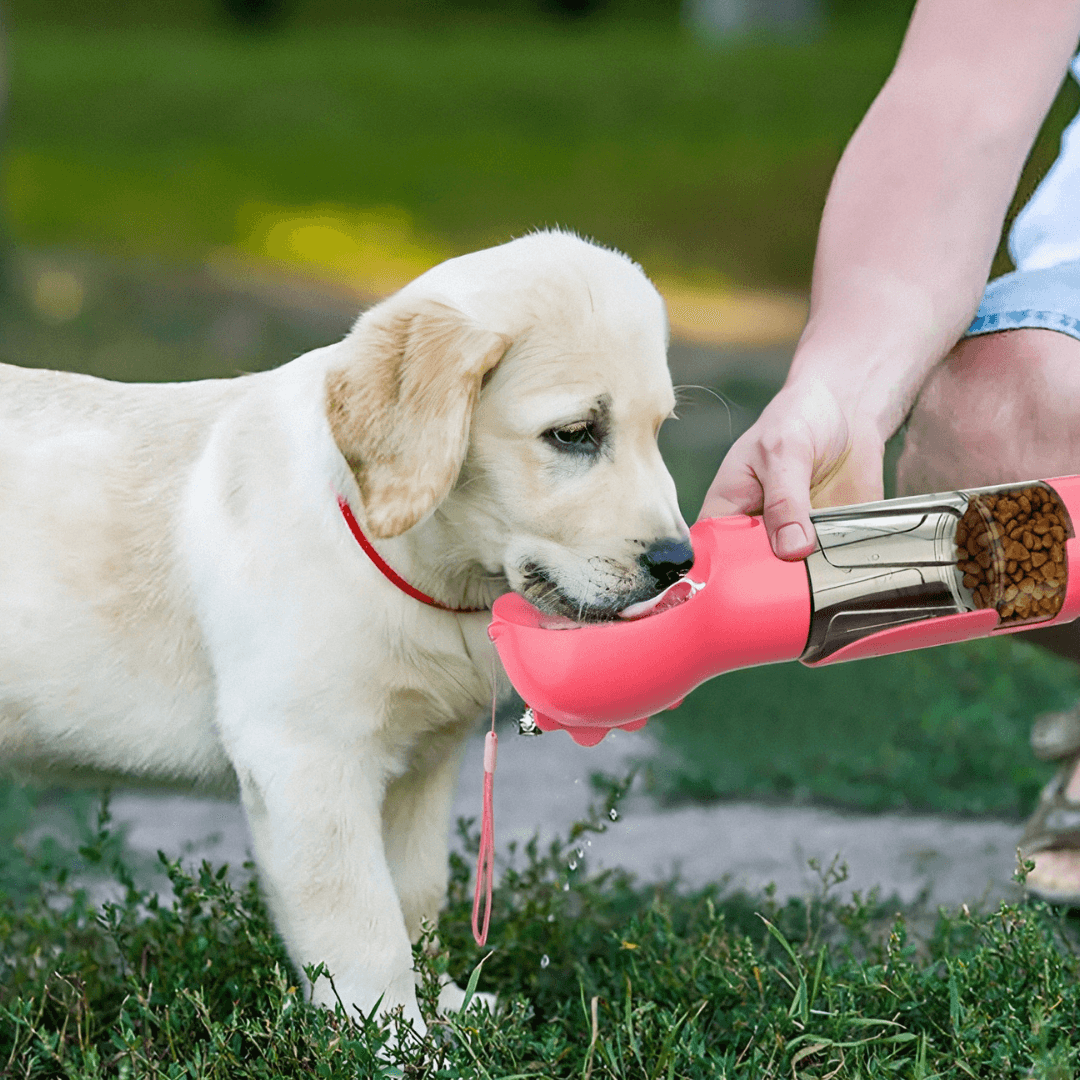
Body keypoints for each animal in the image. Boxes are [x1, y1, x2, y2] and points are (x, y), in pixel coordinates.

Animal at [0, 230, 691, 1028]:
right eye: (575, 434)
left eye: (658, 431)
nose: (679, 563)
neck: (422, 571)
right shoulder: (307, 760)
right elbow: (362, 924)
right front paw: (392, 1037)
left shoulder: (423, 763)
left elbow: (415, 896)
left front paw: (444, 1007)